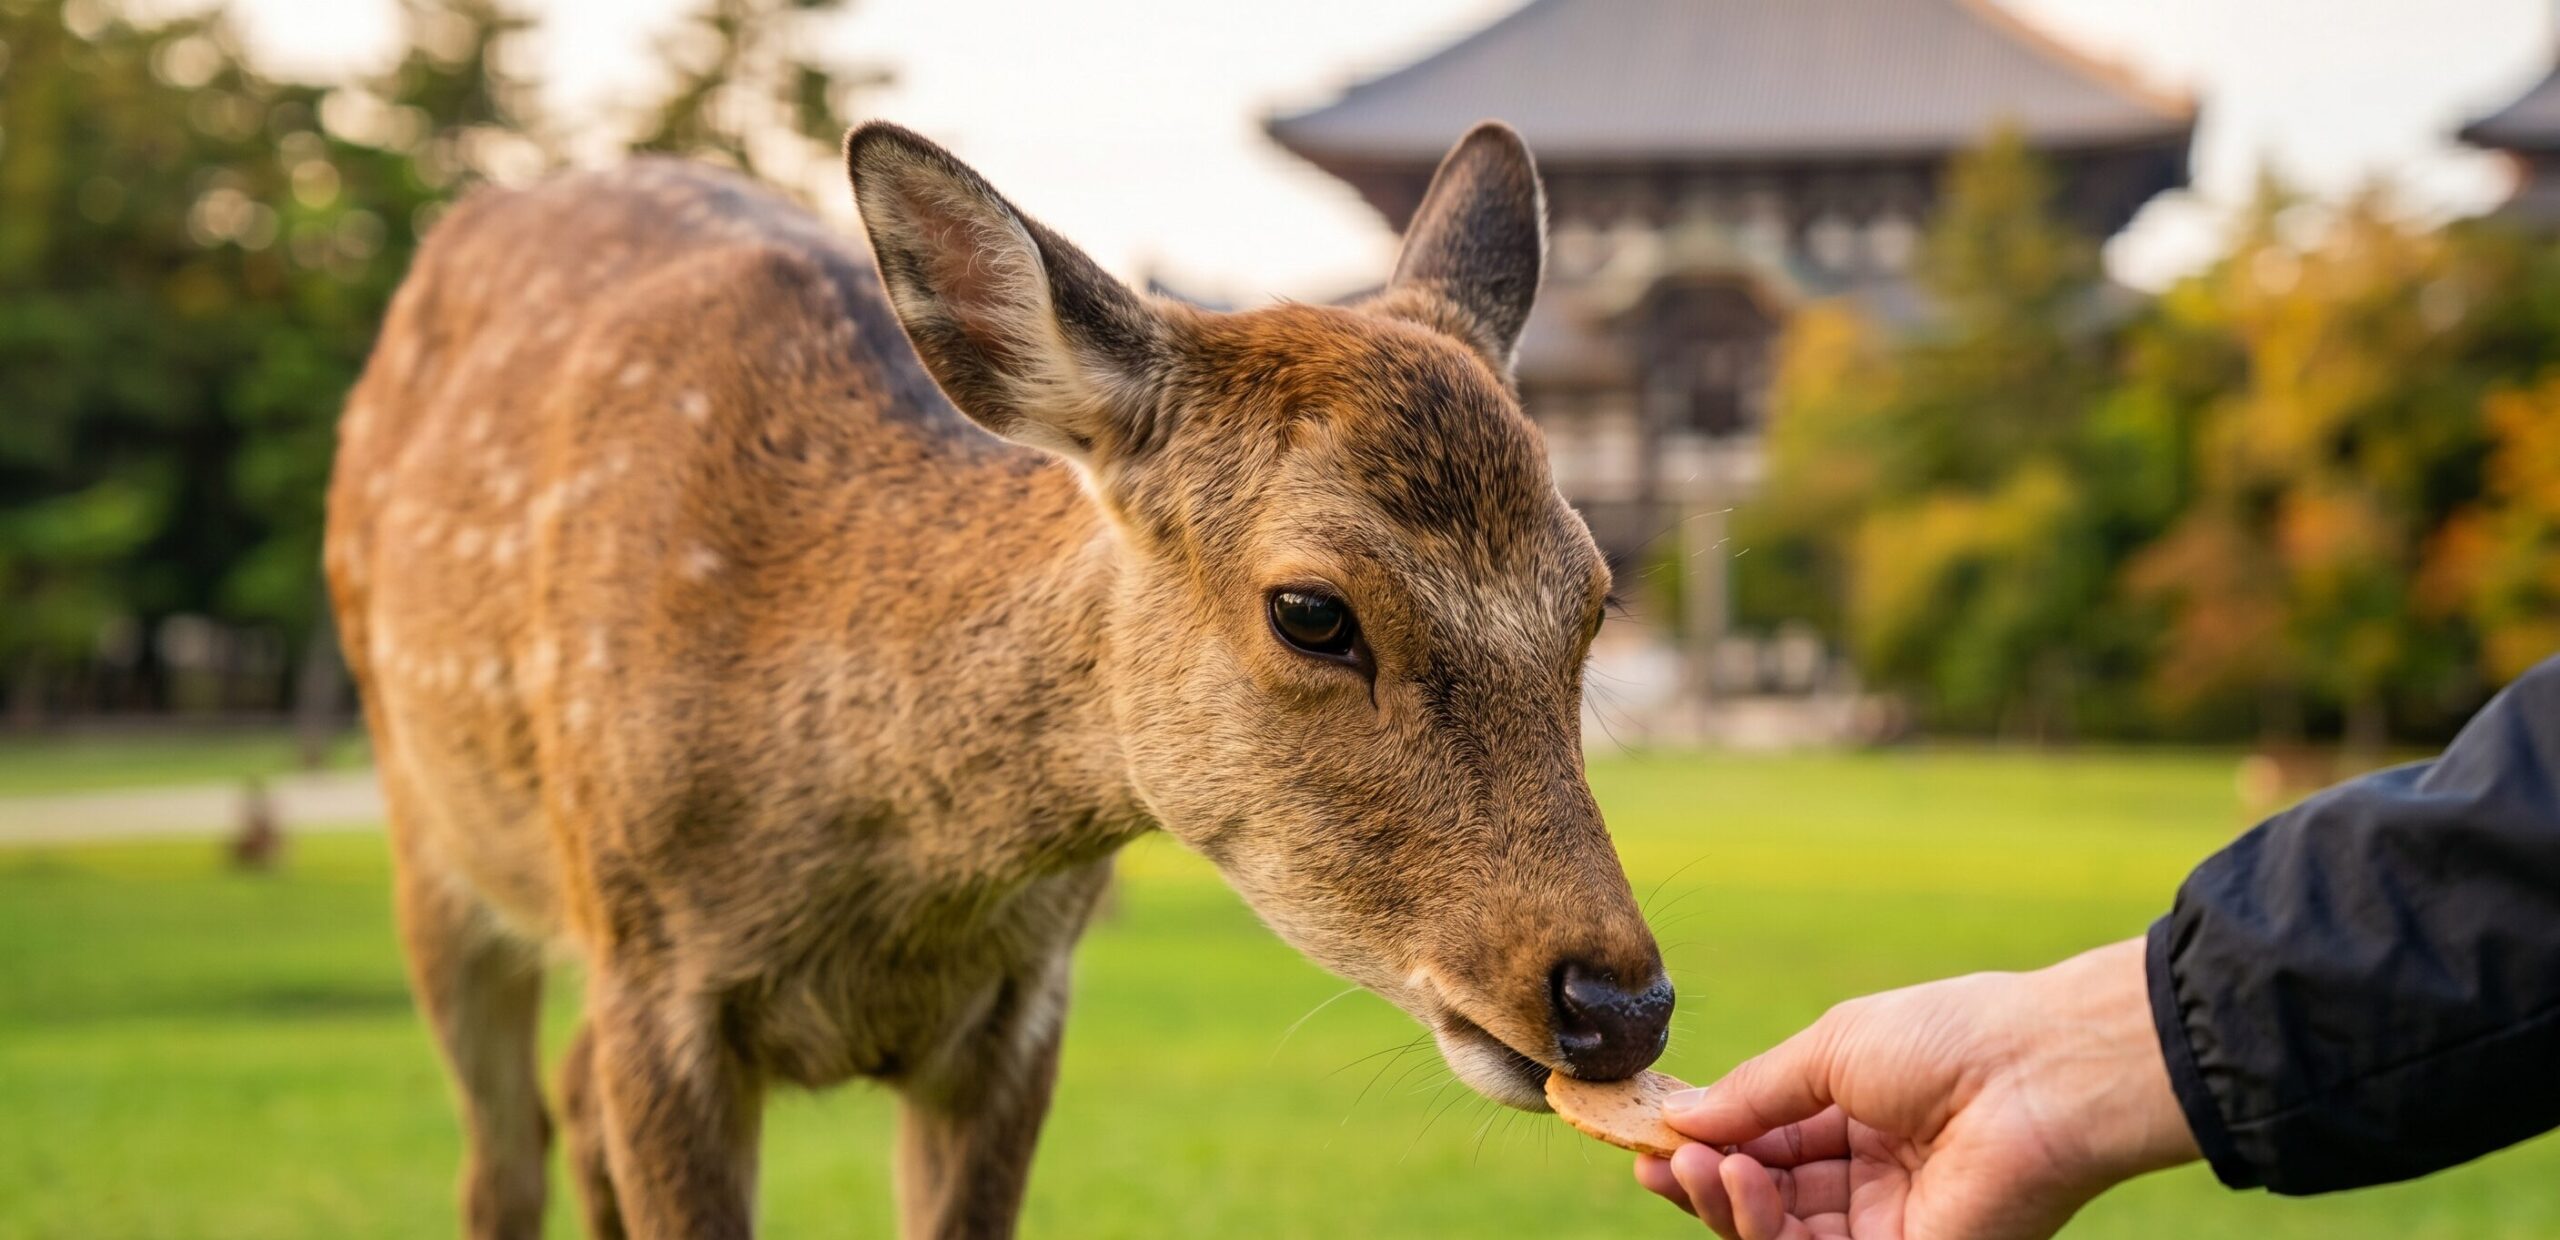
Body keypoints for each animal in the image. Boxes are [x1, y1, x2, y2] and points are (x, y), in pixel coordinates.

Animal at [322, 119, 1673, 1240]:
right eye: (1310, 610)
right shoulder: (653, 973)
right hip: (439, 847)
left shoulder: (1022, 1013)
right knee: (504, 1158)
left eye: (1593, 599)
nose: (1619, 1003)